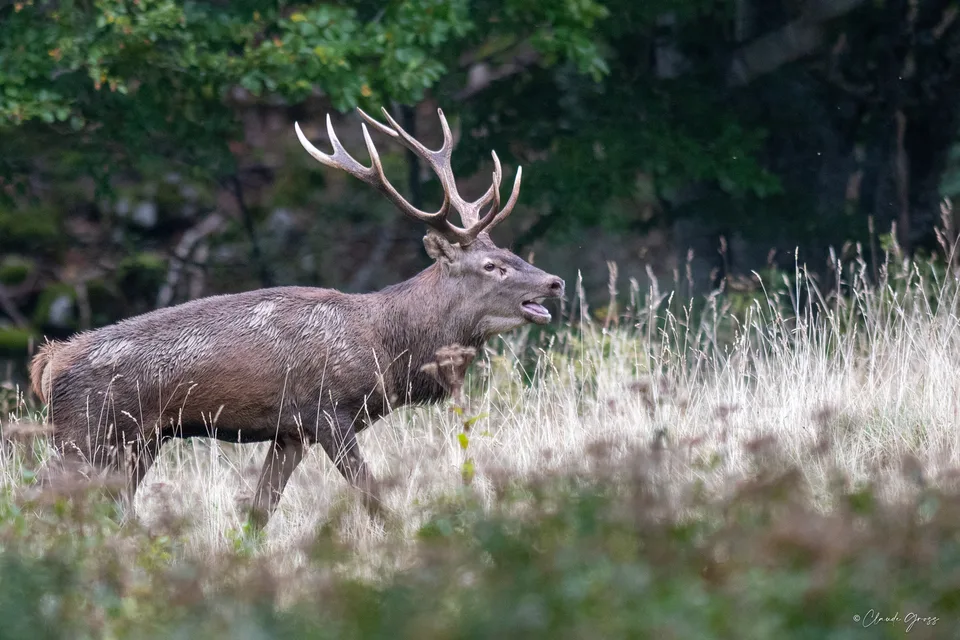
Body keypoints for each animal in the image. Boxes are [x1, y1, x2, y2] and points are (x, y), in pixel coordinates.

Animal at [28, 106, 564, 526]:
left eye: (514, 253)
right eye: (491, 266)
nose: (555, 282)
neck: (386, 348)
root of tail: (49, 363)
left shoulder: (290, 432)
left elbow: (259, 513)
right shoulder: (327, 411)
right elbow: (372, 499)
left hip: (136, 441)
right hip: (84, 432)